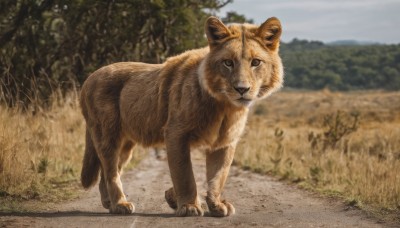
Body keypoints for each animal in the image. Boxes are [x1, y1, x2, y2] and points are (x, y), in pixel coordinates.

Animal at [79, 16, 282, 217]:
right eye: (228, 62)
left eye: (255, 62)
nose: (242, 89)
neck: (224, 106)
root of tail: (89, 78)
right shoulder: (176, 133)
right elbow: (184, 174)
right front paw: (189, 206)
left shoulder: (224, 142)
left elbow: (218, 176)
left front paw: (215, 204)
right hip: (107, 135)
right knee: (110, 171)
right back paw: (120, 204)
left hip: (126, 143)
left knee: (107, 173)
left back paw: (110, 203)